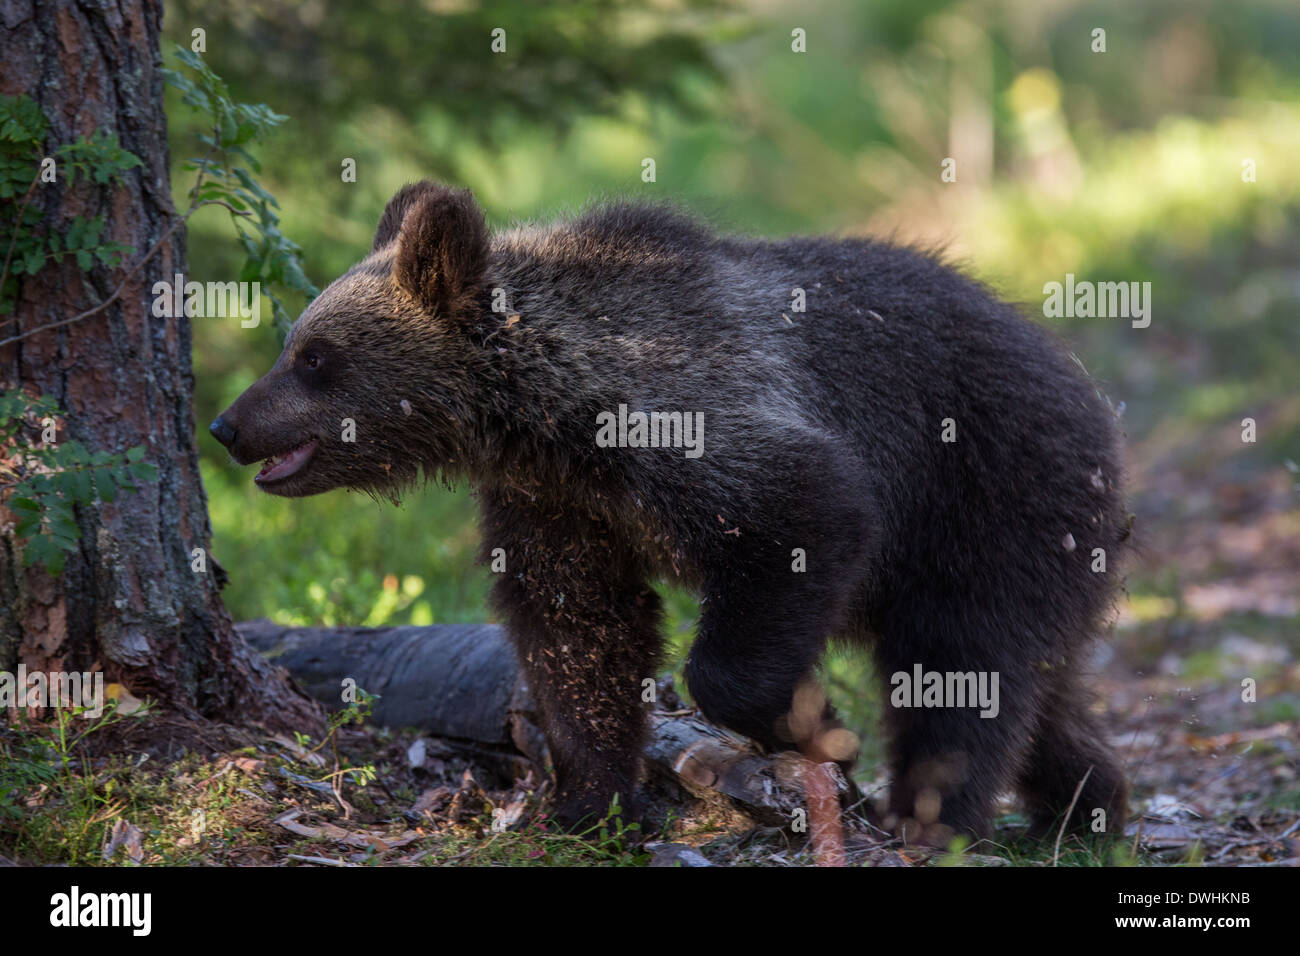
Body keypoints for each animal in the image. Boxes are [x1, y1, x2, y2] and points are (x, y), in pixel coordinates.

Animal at [210, 180, 1130, 844]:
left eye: (314, 356)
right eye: (294, 344)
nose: (228, 425)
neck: (547, 418)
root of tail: (1090, 395)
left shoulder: (703, 423)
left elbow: (800, 516)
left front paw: (814, 724)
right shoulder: (556, 503)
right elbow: (578, 629)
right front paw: (592, 802)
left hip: (988, 493)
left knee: (962, 665)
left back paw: (933, 819)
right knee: (1036, 683)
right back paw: (1087, 804)